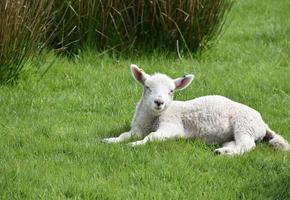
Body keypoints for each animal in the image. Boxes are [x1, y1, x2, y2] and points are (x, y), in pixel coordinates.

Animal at [101, 65, 288, 155]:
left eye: (171, 91)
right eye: (147, 87)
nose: (159, 102)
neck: (152, 118)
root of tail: (263, 124)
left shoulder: (172, 126)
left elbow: (151, 137)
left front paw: (135, 145)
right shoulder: (137, 129)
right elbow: (124, 135)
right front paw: (109, 140)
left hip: (244, 125)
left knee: (247, 145)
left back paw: (228, 155)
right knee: (235, 143)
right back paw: (222, 151)